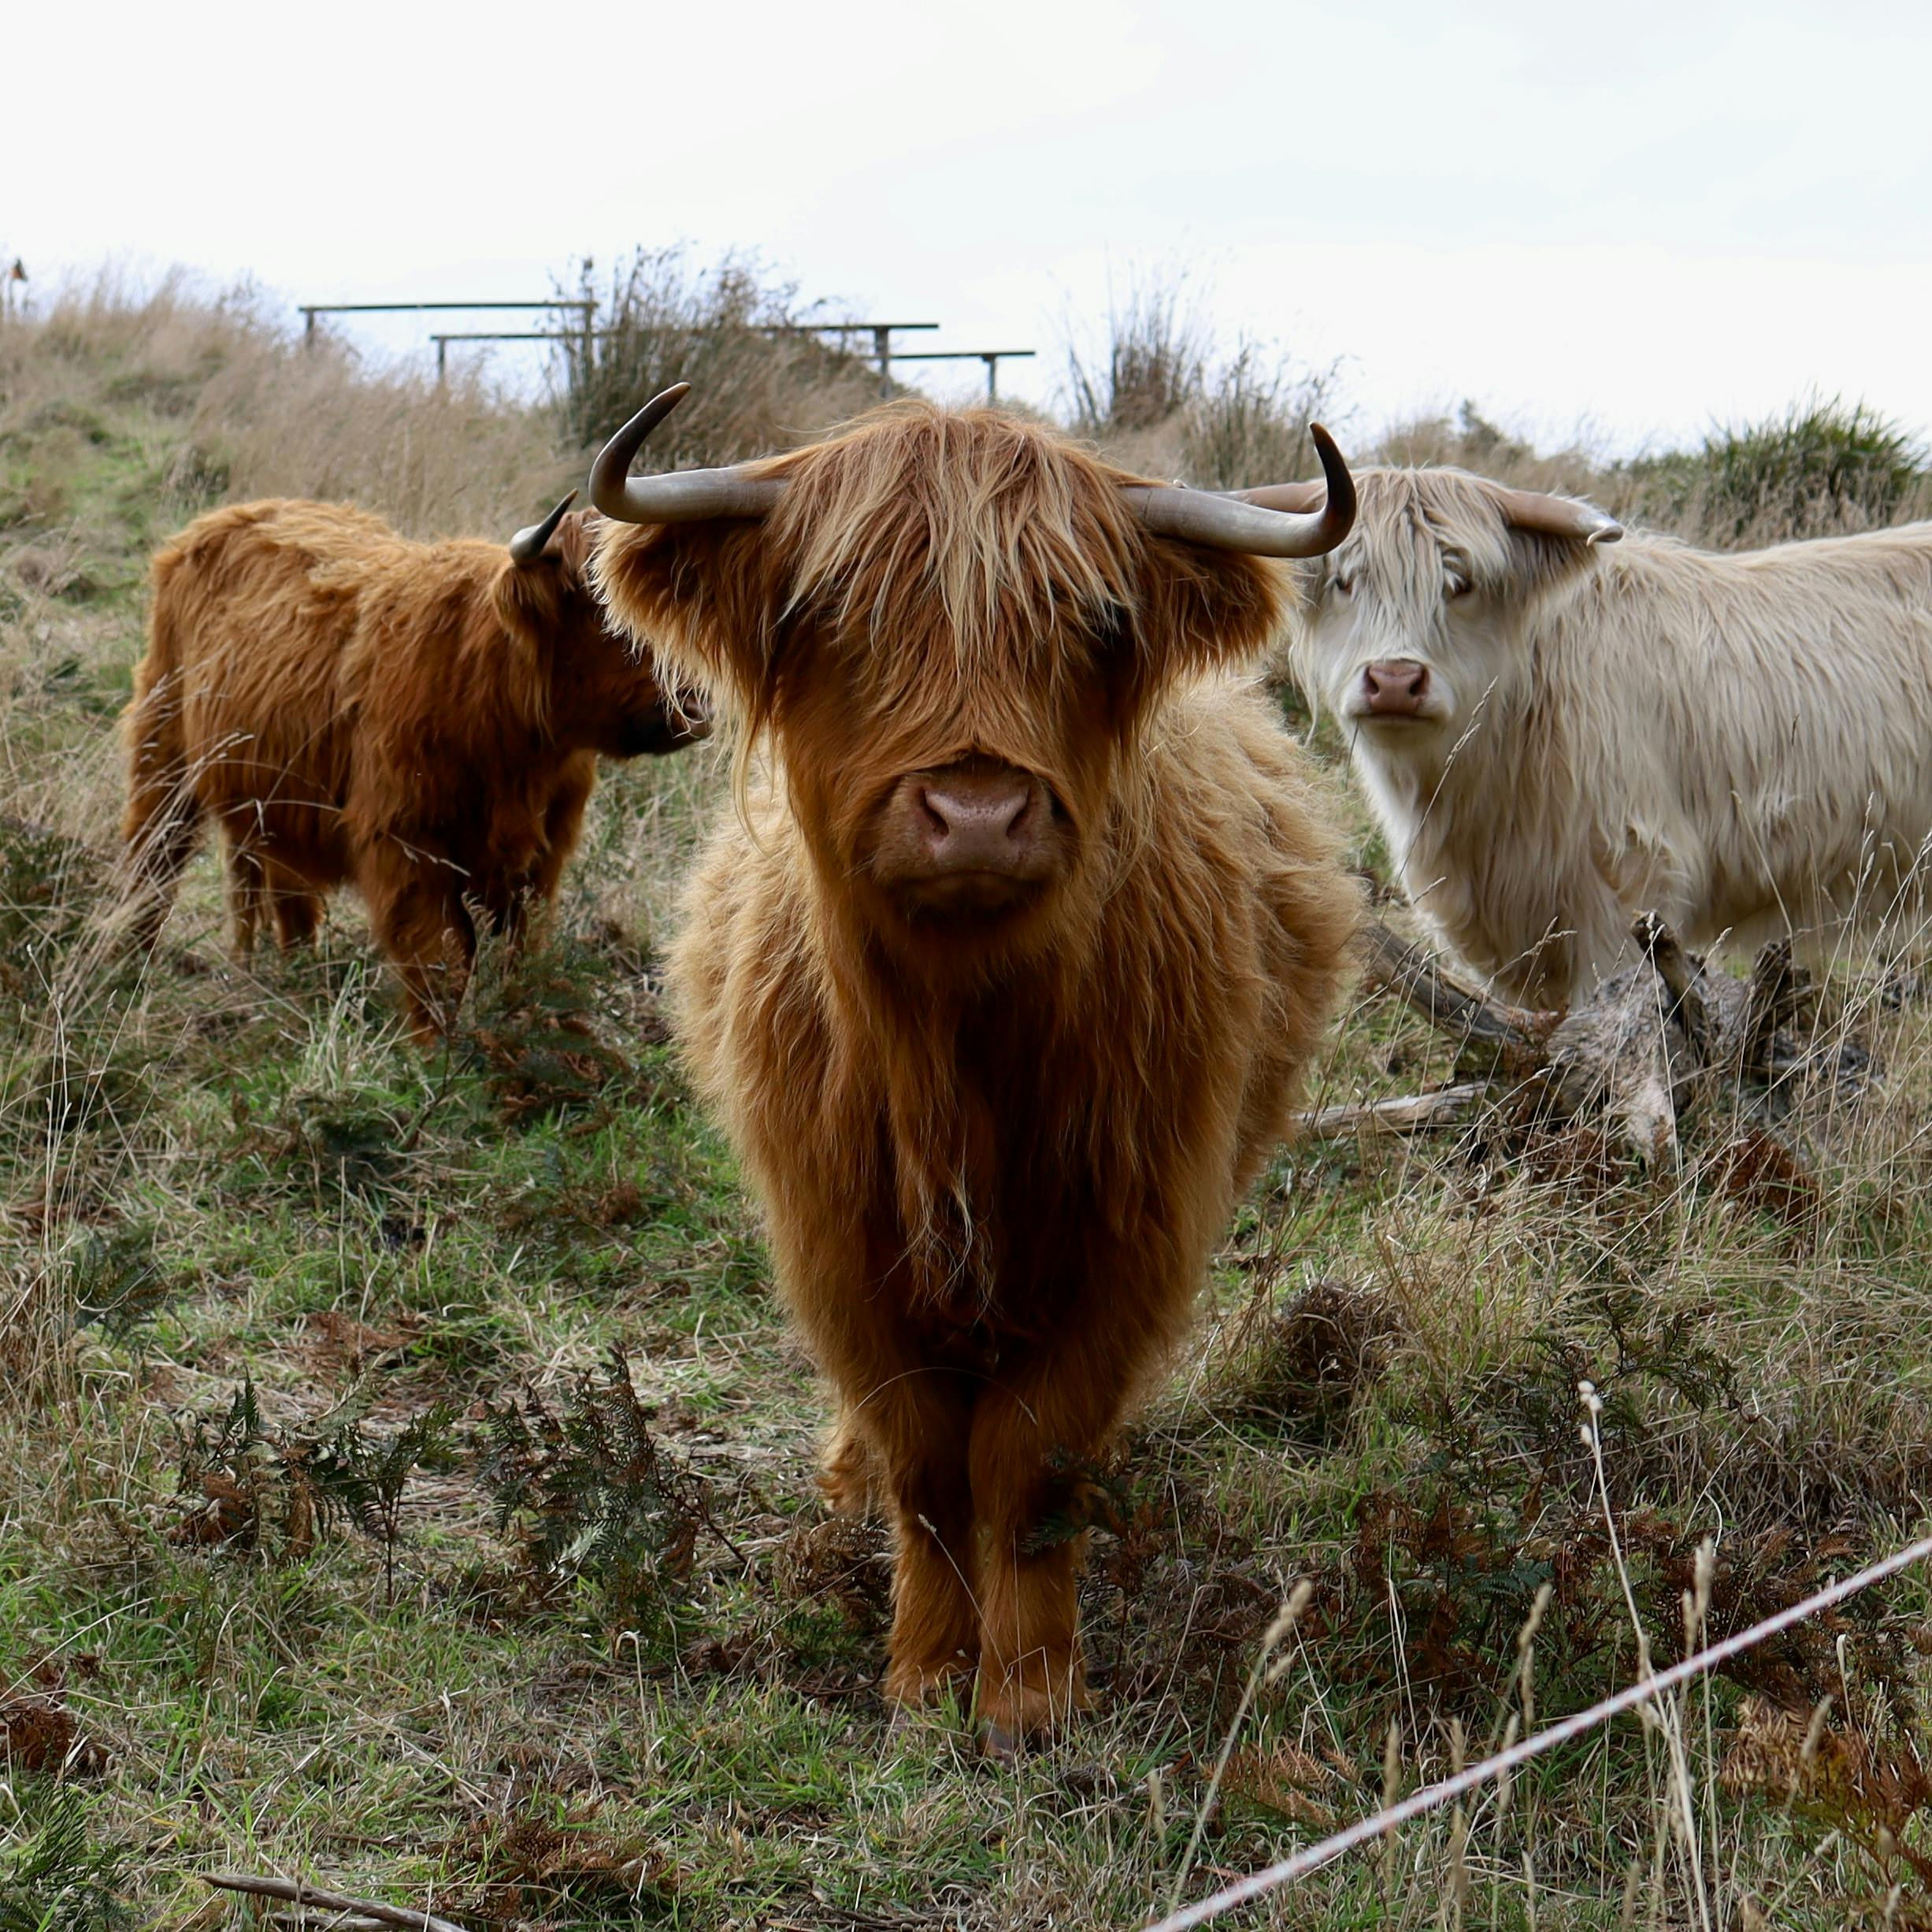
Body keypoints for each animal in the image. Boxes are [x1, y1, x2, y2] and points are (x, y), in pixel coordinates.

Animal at [120, 492, 704, 1036]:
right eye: (605, 608)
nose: (696, 701)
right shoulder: (406, 845)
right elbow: (439, 957)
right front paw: (435, 1052)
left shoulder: (542, 857)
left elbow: (521, 953)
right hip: (163, 745)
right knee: (155, 854)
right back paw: (133, 963)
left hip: (272, 797)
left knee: (281, 890)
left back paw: (295, 976)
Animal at [588, 384, 1361, 1749]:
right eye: (826, 608)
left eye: (1098, 619)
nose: (978, 815)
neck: (954, 1049)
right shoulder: (837, 1239)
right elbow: (924, 1453)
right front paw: (922, 1672)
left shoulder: (1131, 1237)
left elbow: (1025, 1455)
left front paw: (1030, 1691)